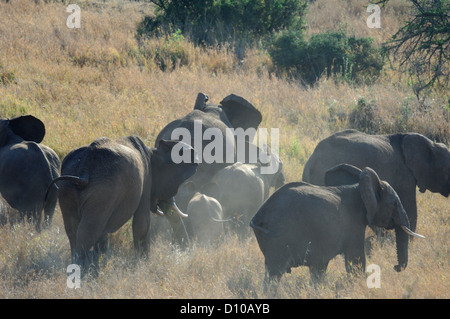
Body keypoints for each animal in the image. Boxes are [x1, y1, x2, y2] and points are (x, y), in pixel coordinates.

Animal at [46, 136, 198, 276]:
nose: (183, 254)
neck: (152, 151)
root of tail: (84, 169)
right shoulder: (145, 181)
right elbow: (142, 223)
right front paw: (144, 265)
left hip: (67, 189)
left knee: (73, 230)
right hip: (103, 191)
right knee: (88, 230)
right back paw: (83, 273)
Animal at [250, 164, 426, 286]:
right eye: (395, 203)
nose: (395, 267)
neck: (360, 187)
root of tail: (259, 215)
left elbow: (319, 268)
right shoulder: (353, 223)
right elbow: (356, 260)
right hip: (279, 237)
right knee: (275, 273)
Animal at [302, 130, 450, 272]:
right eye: (447, 170)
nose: (395, 267)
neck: (431, 144)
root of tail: (311, 162)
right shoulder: (405, 176)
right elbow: (410, 210)